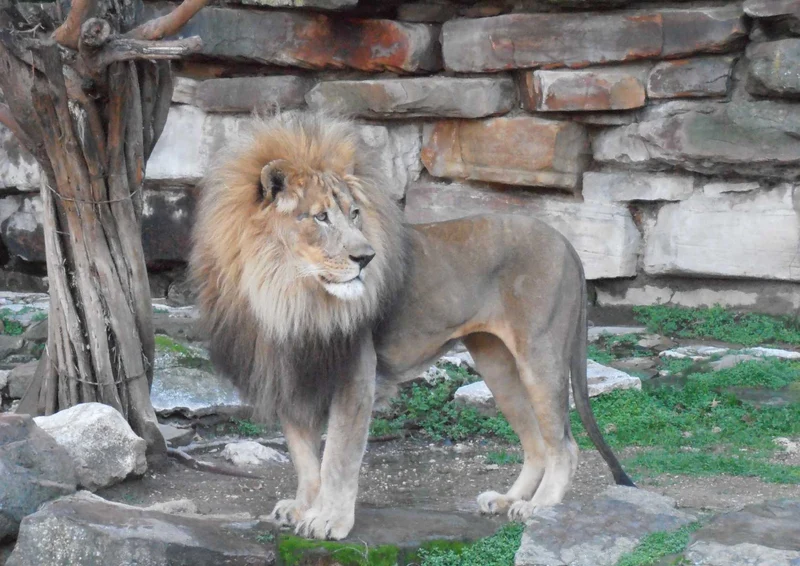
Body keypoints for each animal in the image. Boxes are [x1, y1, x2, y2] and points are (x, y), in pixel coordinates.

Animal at [190, 111, 633, 541]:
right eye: (320, 217)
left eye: (354, 213)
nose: (366, 257)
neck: (286, 292)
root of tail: (565, 241)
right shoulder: (290, 372)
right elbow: (303, 455)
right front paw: (303, 507)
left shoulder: (354, 373)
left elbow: (338, 455)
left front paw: (329, 520)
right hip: (497, 363)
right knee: (538, 442)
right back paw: (507, 500)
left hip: (540, 355)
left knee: (564, 446)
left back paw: (538, 507)